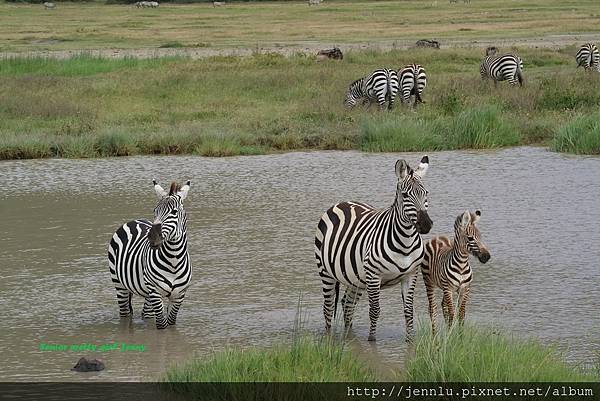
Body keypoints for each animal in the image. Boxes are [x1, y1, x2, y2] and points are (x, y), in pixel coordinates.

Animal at [106, 179, 192, 328]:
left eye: (174, 212)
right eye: (155, 211)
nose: (152, 238)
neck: (174, 260)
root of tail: (133, 220)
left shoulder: (178, 295)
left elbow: (171, 324)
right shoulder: (155, 292)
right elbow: (162, 325)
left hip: (147, 292)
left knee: (146, 314)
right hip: (119, 283)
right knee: (125, 313)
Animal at [314, 155, 432, 340]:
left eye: (425, 193)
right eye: (405, 195)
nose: (426, 225)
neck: (405, 242)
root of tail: (342, 203)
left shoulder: (411, 275)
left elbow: (408, 311)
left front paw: (410, 340)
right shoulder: (373, 275)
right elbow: (375, 310)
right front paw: (371, 340)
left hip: (356, 279)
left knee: (347, 303)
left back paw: (349, 335)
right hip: (325, 272)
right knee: (328, 308)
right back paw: (329, 336)